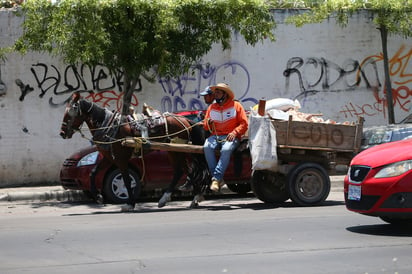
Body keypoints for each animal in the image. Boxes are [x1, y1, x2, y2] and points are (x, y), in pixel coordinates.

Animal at [59, 92, 208, 212]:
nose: (62, 133)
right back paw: (190, 198)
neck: (110, 127)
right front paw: (98, 196)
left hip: (177, 150)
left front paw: (130, 203)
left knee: (183, 170)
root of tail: (185, 120)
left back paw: (183, 197)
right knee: (184, 170)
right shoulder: (109, 157)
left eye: (69, 114)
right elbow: (93, 173)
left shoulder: (121, 159)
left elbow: (125, 179)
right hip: (173, 150)